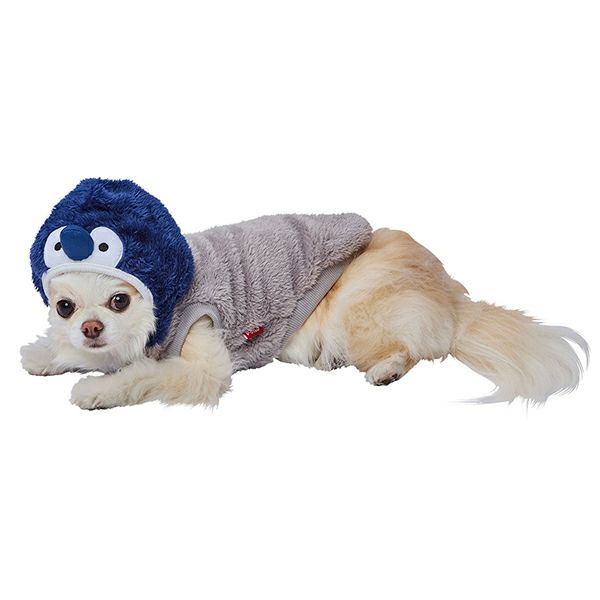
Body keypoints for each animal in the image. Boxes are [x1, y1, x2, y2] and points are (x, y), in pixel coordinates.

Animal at [21, 227, 589, 409]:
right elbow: (73, 351)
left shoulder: (201, 363)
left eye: (120, 301)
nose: (91, 327)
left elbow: (139, 374)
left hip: (358, 316)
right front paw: (46, 355)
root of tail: (453, 296)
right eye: (66, 307)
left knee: (417, 349)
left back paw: (385, 370)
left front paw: (95, 390)